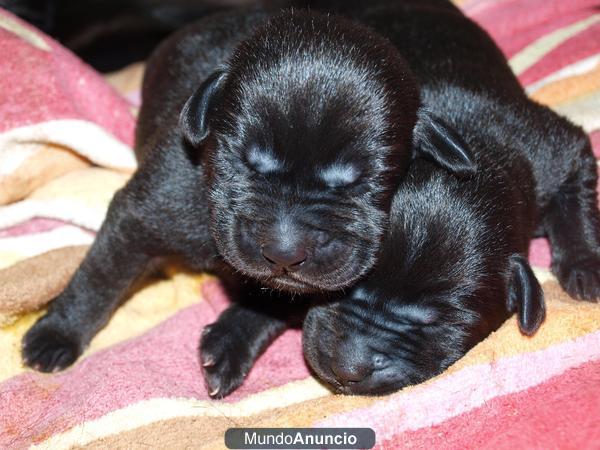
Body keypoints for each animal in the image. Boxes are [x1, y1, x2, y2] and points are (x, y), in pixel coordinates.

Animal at [19, 7, 474, 386]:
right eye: (245, 162)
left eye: (363, 181)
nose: (286, 253)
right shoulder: (147, 209)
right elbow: (101, 275)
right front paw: (56, 334)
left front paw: (230, 344)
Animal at [198, 0, 600, 394]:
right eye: (346, 291)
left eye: (438, 323)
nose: (348, 370)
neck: (469, 150)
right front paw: (233, 337)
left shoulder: (547, 151)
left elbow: (577, 183)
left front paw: (585, 264)